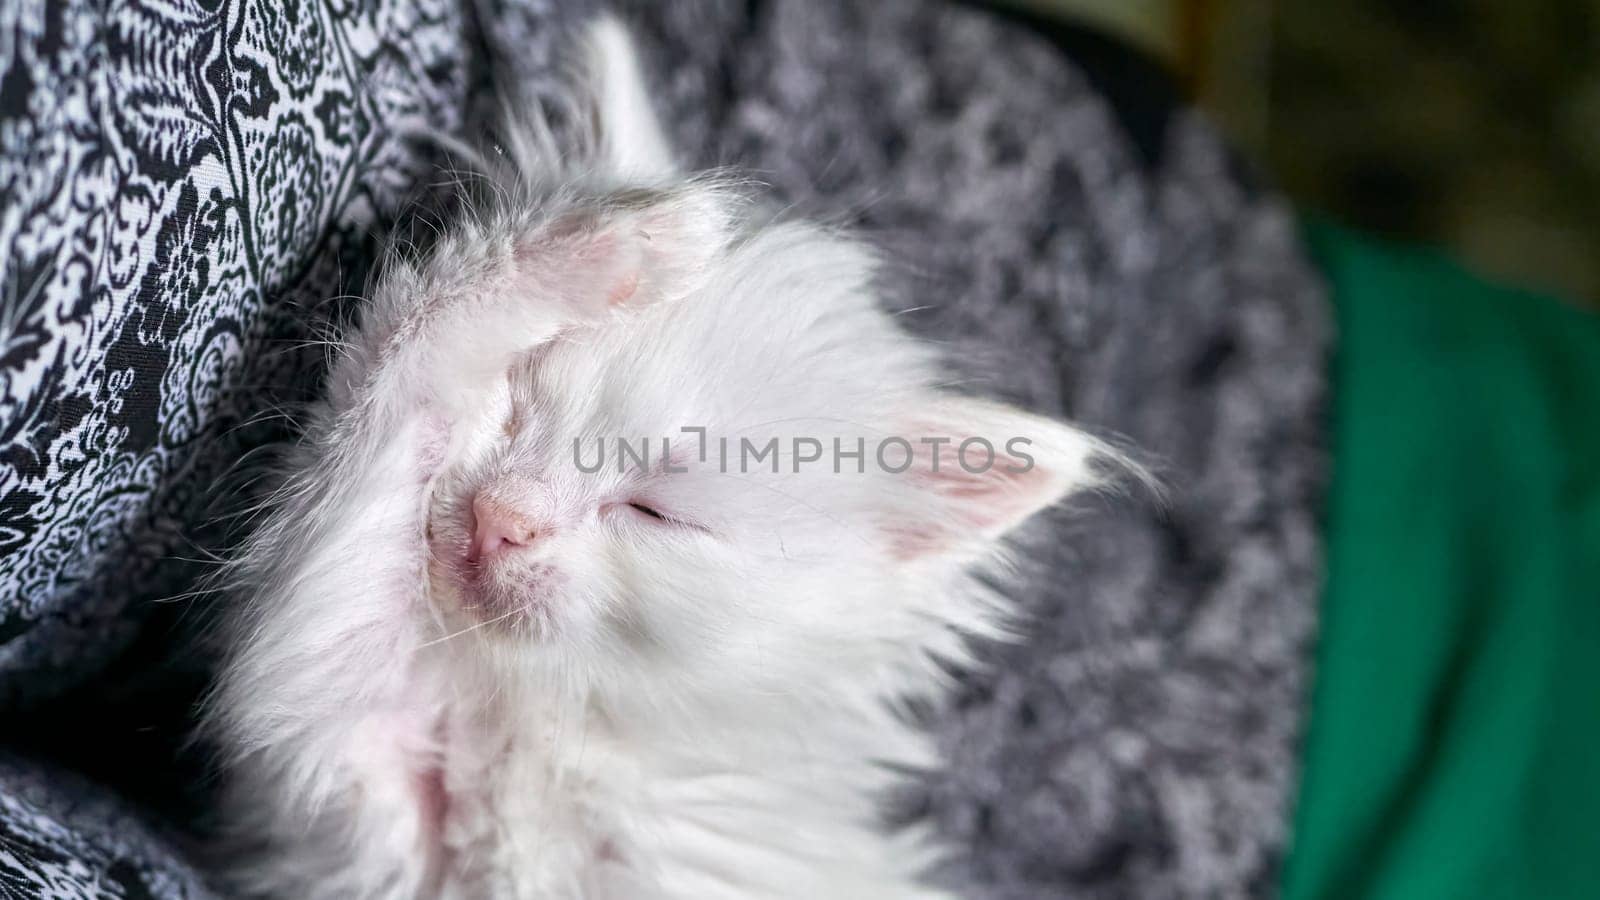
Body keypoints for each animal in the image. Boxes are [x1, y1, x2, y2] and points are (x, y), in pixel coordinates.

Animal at [206, 15, 1120, 896]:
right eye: (515, 409)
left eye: (654, 511)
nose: (502, 518)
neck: (553, 728)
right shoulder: (351, 763)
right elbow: (405, 355)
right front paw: (618, 237)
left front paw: (637, 236)